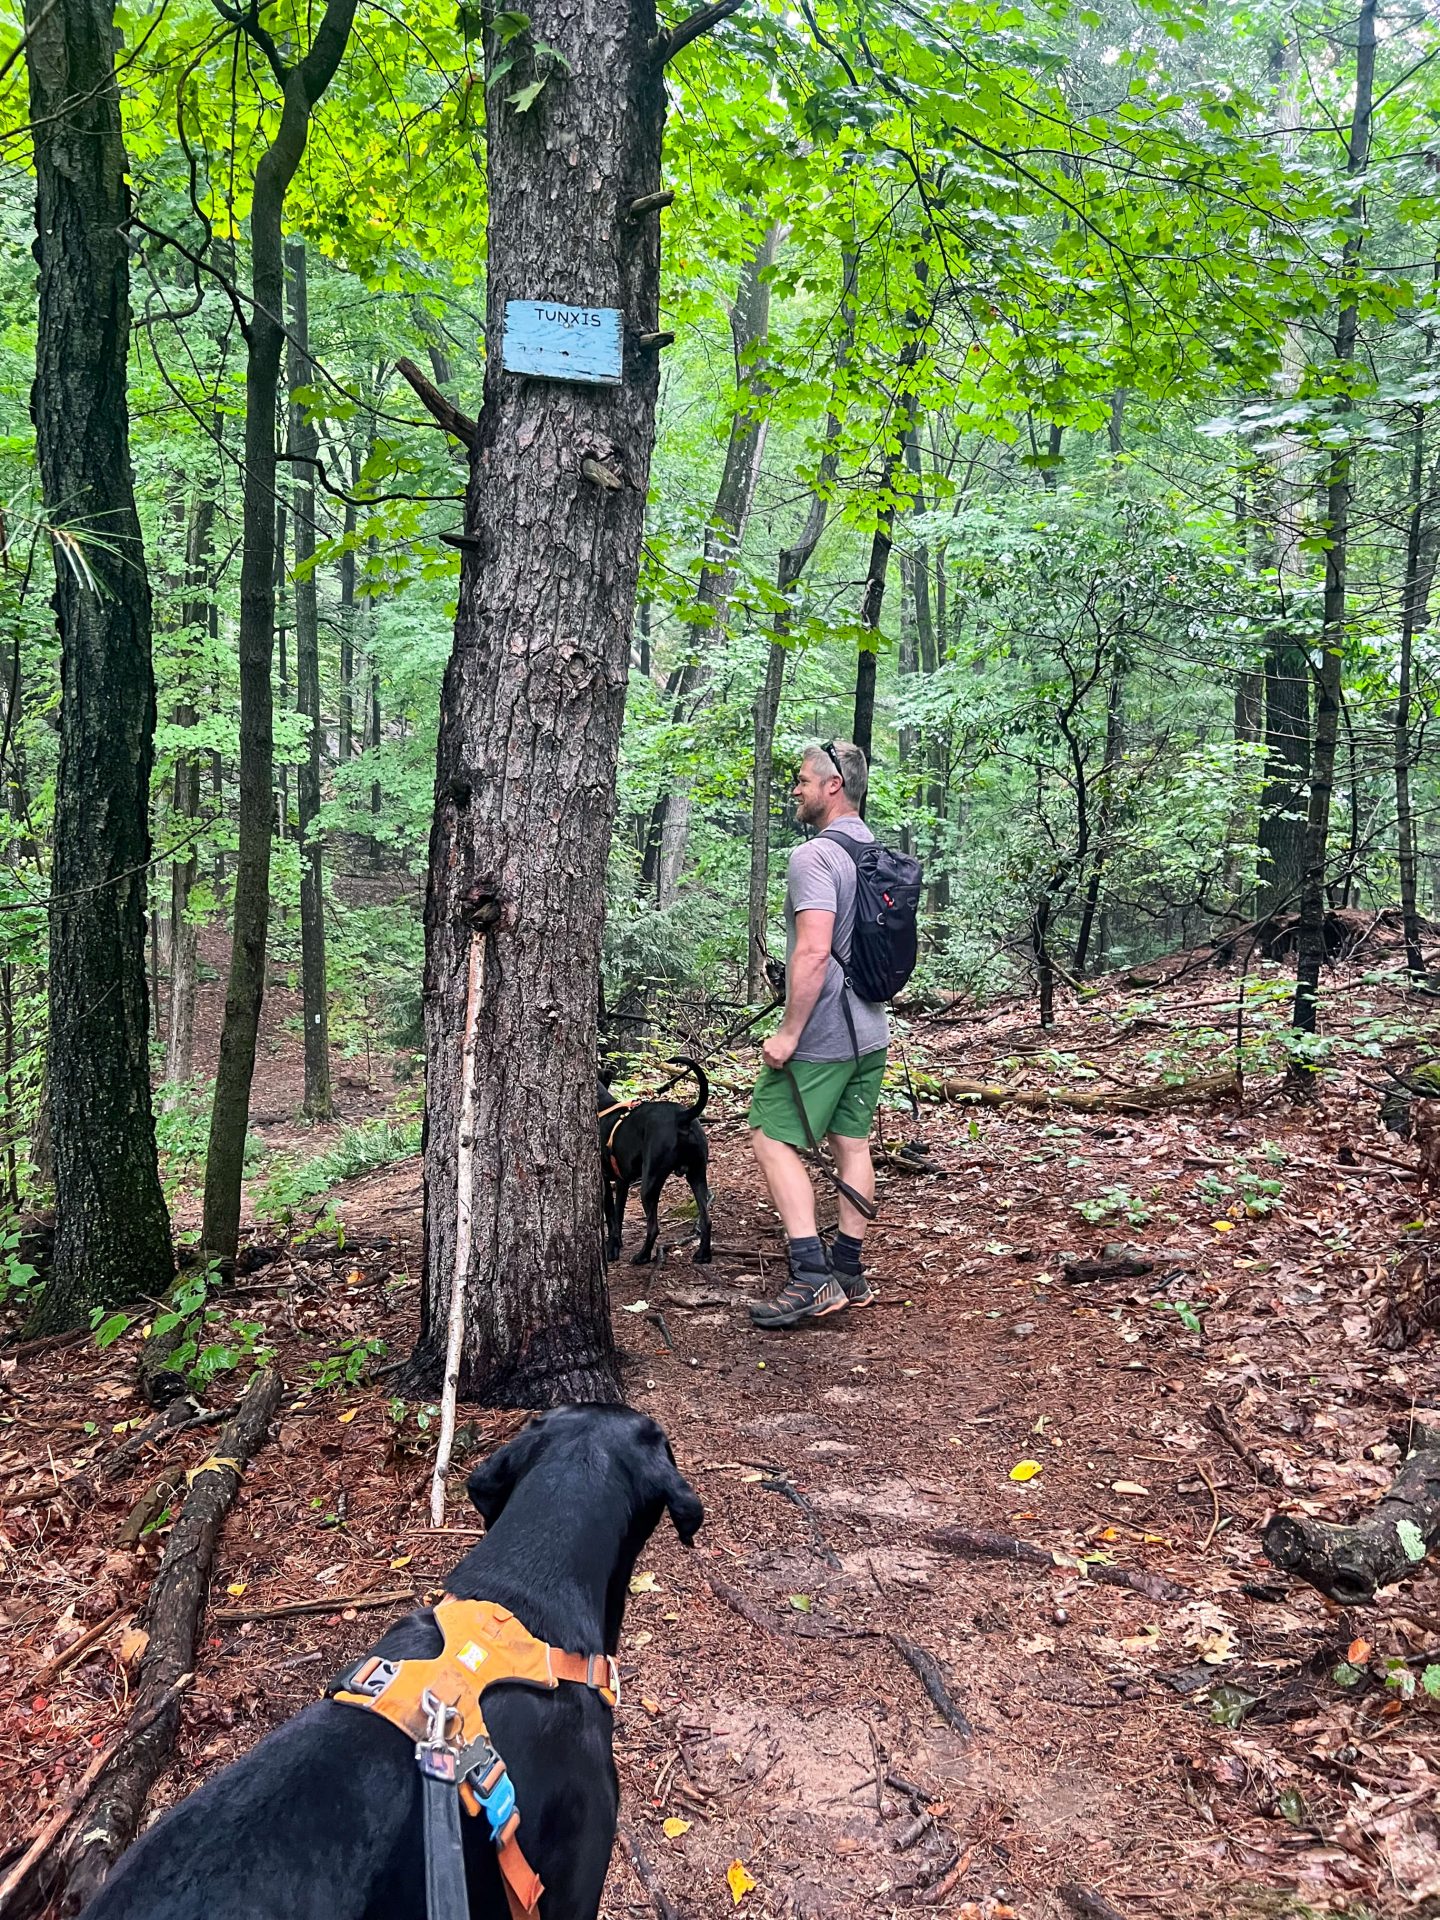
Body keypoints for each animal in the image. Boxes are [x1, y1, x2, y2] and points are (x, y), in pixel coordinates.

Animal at [595, 1059, 714, 1267]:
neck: (604, 1108)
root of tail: (682, 1117)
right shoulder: (622, 1180)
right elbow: (618, 1214)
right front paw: (617, 1243)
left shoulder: (606, 1180)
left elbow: (610, 1215)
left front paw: (611, 1249)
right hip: (697, 1174)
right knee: (706, 1220)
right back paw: (703, 1254)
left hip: (649, 1184)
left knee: (653, 1227)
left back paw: (642, 1256)